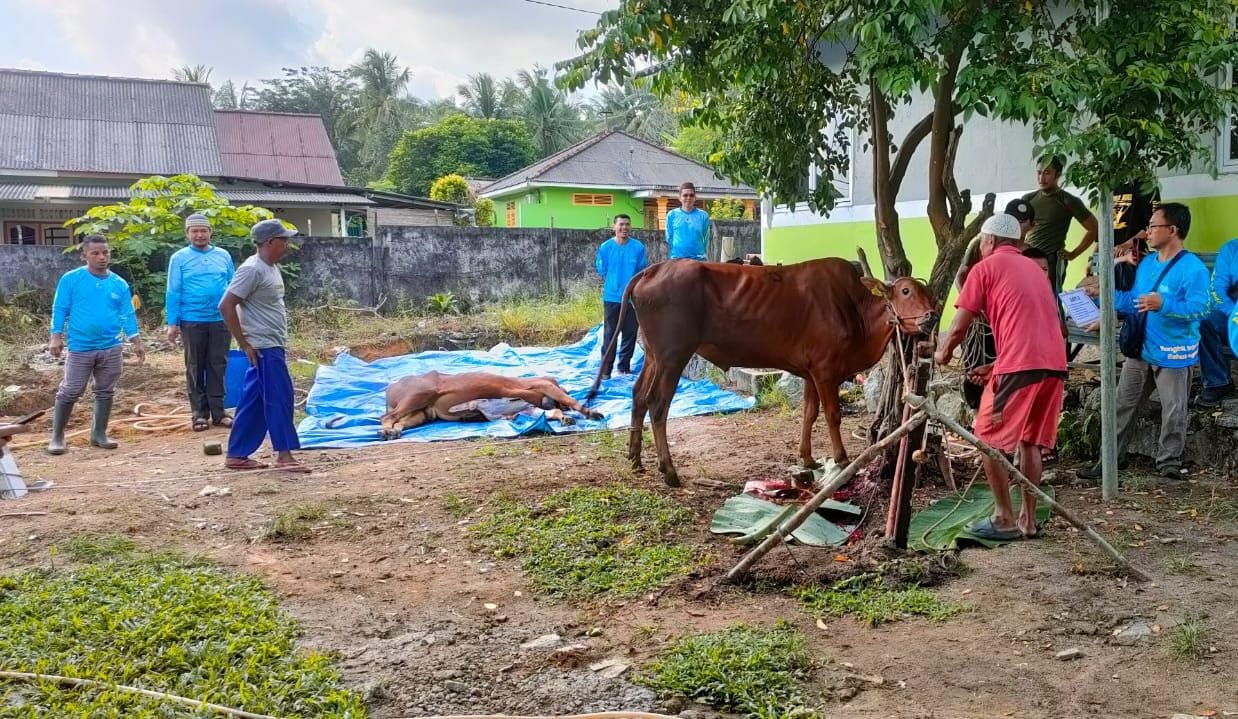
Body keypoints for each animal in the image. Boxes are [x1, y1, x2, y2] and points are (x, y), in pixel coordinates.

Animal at [381, 371, 604, 438]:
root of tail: (391, 387)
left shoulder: (529, 407)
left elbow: (552, 411)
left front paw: (564, 417)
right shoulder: (542, 385)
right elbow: (568, 400)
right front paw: (591, 413)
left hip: (422, 413)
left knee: (398, 420)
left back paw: (393, 431)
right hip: (420, 393)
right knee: (387, 417)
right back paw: (386, 430)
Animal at [584, 254, 930, 485]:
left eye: (926, 292)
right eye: (905, 292)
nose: (930, 316)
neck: (854, 312)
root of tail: (651, 270)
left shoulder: (810, 372)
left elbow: (809, 412)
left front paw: (807, 457)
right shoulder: (826, 371)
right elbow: (832, 415)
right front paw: (842, 458)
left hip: (654, 356)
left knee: (637, 395)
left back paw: (635, 459)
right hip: (673, 356)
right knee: (657, 404)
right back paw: (668, 471)